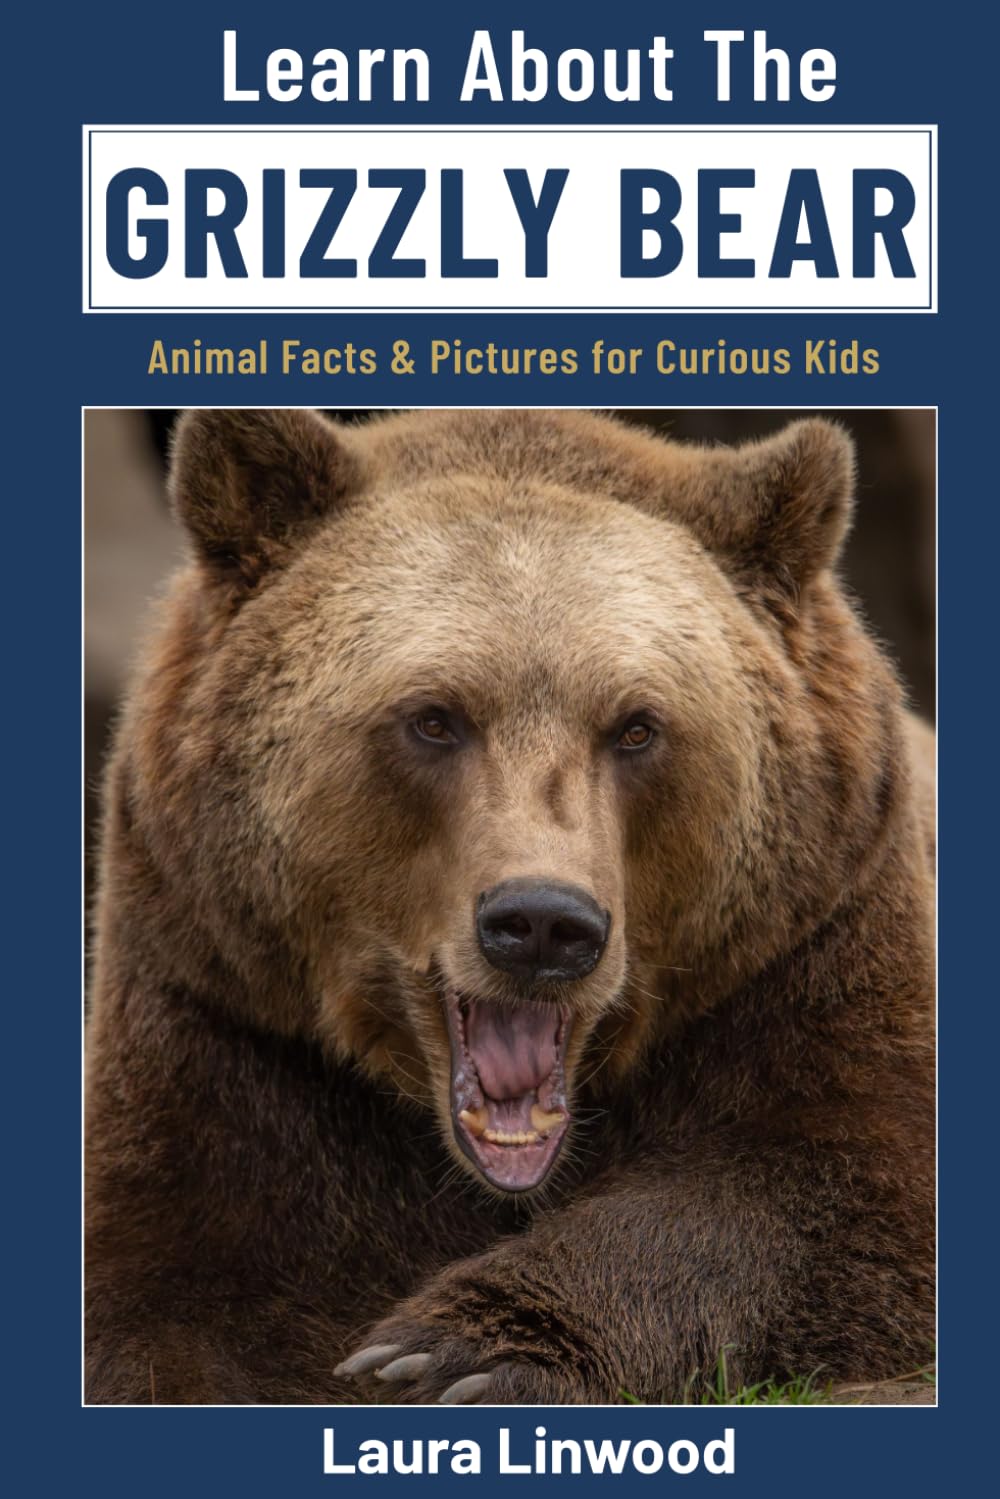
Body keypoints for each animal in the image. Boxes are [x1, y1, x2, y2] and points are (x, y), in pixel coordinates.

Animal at [85, 407, 935, 1405]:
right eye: (433, 717)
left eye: (637, 725)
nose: (541, 924)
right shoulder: (224, 1009)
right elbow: (163, 1292)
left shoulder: (812, 943)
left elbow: (837, 1190)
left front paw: (455, 1352)